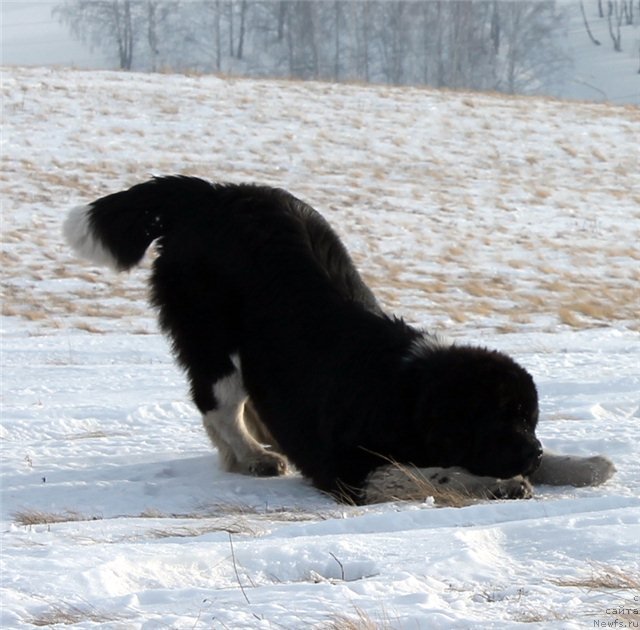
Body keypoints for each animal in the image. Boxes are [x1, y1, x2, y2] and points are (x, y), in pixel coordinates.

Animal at [65, 177, 616, 504]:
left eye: (530, 419)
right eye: (501, 420)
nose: (534, 453)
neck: (406, 394)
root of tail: (210, 193)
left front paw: (584, 464)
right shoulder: (349, 466)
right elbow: (422, 473)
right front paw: (498, 484)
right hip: (214, 339)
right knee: (217, 404)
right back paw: (253, 457)